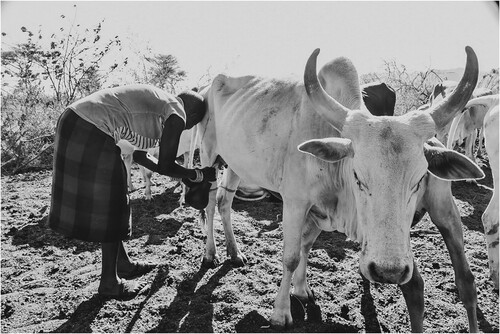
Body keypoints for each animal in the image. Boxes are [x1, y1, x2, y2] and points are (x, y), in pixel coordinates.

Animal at [197, 47, 482, 332]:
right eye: (357, 176)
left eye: (420, 178)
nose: (389, 272)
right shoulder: (295, 202)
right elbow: (291, 256)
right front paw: (280, 314)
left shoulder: (319, 210)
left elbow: (306, 245)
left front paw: (301, 290)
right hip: (209, 155)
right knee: (209, 204)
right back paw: (210, 253)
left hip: (235, 164)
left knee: (224, 201)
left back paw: (235, 252)